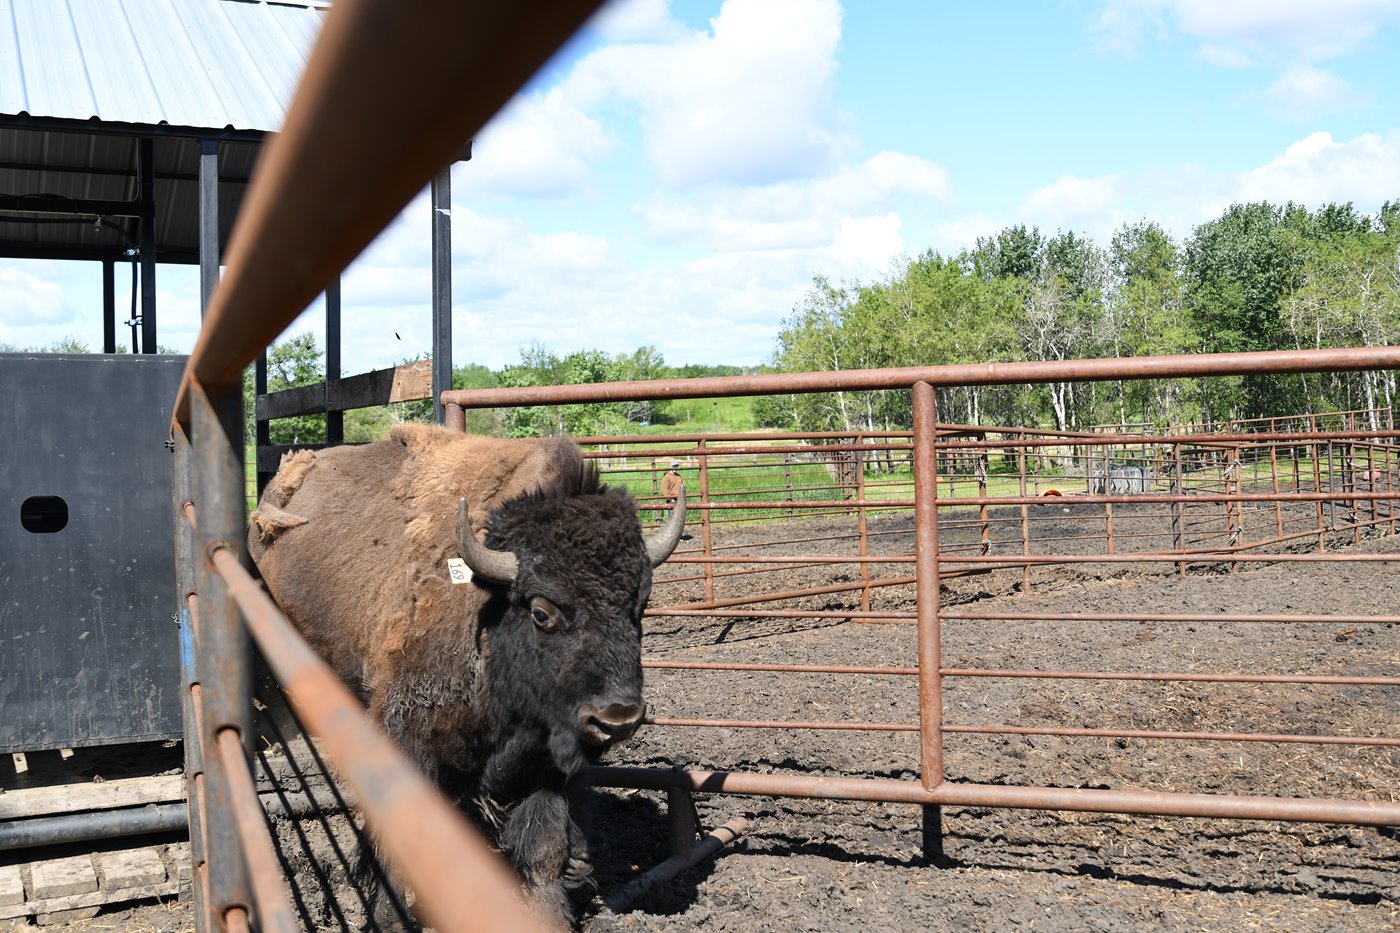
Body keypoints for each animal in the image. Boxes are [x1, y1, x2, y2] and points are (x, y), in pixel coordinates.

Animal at [247, 425, 685, 926]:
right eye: (541, 611)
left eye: (641, 605)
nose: (617, 718)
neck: (488, 613)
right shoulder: (410, 744)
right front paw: (390, 917)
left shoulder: (548, 768)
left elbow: (544, 848)